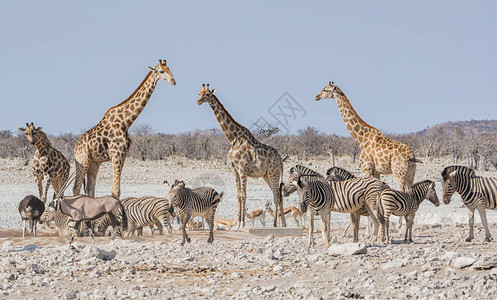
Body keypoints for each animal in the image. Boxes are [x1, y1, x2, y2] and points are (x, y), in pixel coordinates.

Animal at [72, 59, 175, 198]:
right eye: (161, 71)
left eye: (169, 69)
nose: (173, 81)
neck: (126, 122)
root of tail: (75, 148)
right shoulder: (116, 155)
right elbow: (115, 190)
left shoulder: (123, 155)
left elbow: (115, 190)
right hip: (82, 161)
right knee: (76, 188)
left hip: (94, 162)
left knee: (90, 189)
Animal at [196, 83, 284, 229]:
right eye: (199, 93)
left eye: (207, 94)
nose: (198, 101)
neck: (232, 139)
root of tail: (281, 161)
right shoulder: (234, 169)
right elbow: (238, 195)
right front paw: (238, 223)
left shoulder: (242, 168)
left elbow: (243, 195)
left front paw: (242, 224)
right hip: (266, 175)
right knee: (279, 195)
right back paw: (283, 223)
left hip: (273, 173)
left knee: (277, 195)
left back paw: (275, 224)